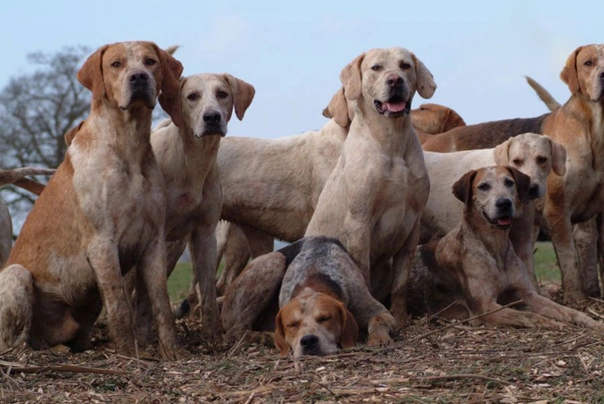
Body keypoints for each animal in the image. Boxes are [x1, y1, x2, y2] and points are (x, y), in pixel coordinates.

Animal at [0, 41, 184, 358]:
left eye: (150, 62)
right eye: (116, 64)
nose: (139, 77)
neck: (128, 146)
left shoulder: (154, 242)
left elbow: (161, 305)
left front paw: (172, 352)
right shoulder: (102, 243)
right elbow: (120, 307)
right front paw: (129, 355)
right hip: (17, 274)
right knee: (16, 342)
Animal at [222, 237, 396, 356]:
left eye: (325, 318)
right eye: (292, 325)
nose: (308, 341)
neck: (314, 276)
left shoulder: (380, 311)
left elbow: (377, 319)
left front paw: (378, 338)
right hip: (274, 260)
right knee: (236, 331)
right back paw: (265, 337)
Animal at [304, 47, 436, 326]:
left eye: (405, 65)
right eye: (376, 68)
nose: (395, 80)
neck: (392, 142)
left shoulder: (413, 226)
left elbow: (401, 284)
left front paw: (401, 317)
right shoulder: (359, 223)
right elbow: (362, 275)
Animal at [406, 166, 604, 332]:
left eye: (509, 182)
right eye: (483, 186)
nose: (504, 203)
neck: (495, 246)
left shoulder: (528, 294)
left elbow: (568, 310)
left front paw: (592, 322)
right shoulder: (485, 308)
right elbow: (528, 316)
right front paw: (554, 324)